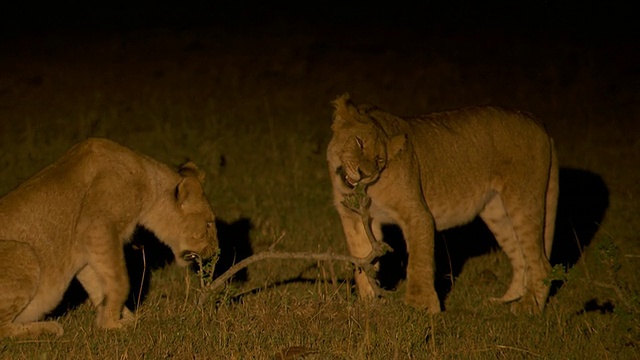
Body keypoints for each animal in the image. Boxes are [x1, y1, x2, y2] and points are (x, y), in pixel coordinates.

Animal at [0, 138, 218, 338]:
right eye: (208, 224)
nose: (215, 252)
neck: (147, 177)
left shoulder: (86, 249)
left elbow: (100, 284)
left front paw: (120, 318)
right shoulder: (97, 228)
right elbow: (120, 281)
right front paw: (113, 324)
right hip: (25, 252)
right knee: (4, 330)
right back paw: (50, 328)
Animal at [328, 94, 556, 314]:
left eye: (380, 160)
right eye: (359, 142)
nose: (365, 174)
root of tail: (538, 122)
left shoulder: (418, 215)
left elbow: (418, 261)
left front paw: (419, 307)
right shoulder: (355, 219)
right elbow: (362, 260)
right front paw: (368, 304)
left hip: (523, 201)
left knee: (540, 263)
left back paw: (529, 306)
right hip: (497, 211)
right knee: (521, 258)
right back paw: (502, 302)